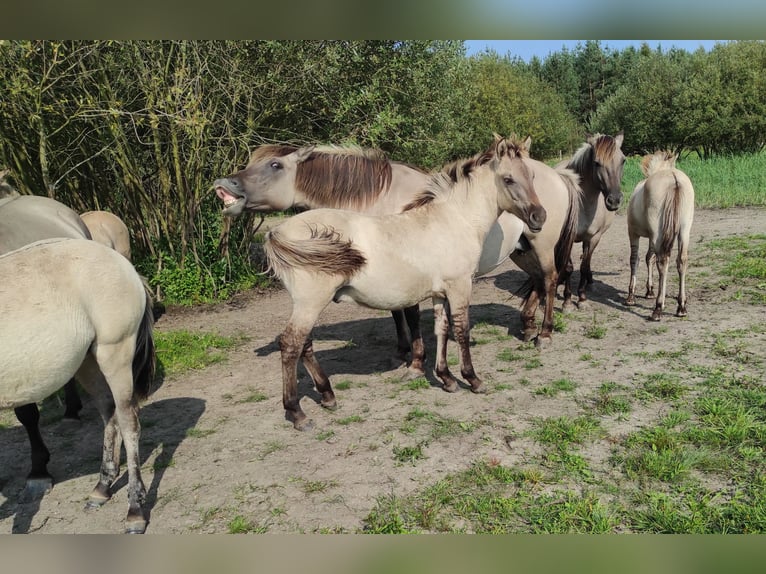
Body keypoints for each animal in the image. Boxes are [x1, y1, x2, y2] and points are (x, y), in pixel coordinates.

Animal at [0, 238, 158, 536]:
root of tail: (121, 262)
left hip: (115, 354)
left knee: (128, 421)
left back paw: (134, 511)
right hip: (87, 361)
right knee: (109, 412)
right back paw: (102, 488)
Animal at [264, 136, 544, 432]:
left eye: (532, 176)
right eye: (508, 179)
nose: (539, 217)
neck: (455, 220)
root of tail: (277, 232)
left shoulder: (439, 292)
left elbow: (441, 329)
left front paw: (447, 379)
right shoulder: (460, 287)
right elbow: (461, 331)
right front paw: (472, 379)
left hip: (306, 304)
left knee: (304, 344)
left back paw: (328, 395)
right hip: (310, 302)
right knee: (291, 344)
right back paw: (297, 413)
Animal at [560, 133, 628, 310]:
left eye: (623, 161)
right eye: (596, 163)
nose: (614, 200)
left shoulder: (594, 237)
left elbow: (584, 267)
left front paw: (582, 298)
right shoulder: (568, 237)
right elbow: (569, 268)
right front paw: (567, 302)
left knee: (586, 260)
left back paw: (589, 282)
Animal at [628, 151, 700, 322]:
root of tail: (674, 178)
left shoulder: (633, 233)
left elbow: (635, 260)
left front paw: (631, 296)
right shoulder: (651, 237)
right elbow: (649, 258)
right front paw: (649, 291)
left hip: (658, 232)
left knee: (663, 262)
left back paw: (658, 308)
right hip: (684, 229)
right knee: (681, 260)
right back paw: (681, 307)